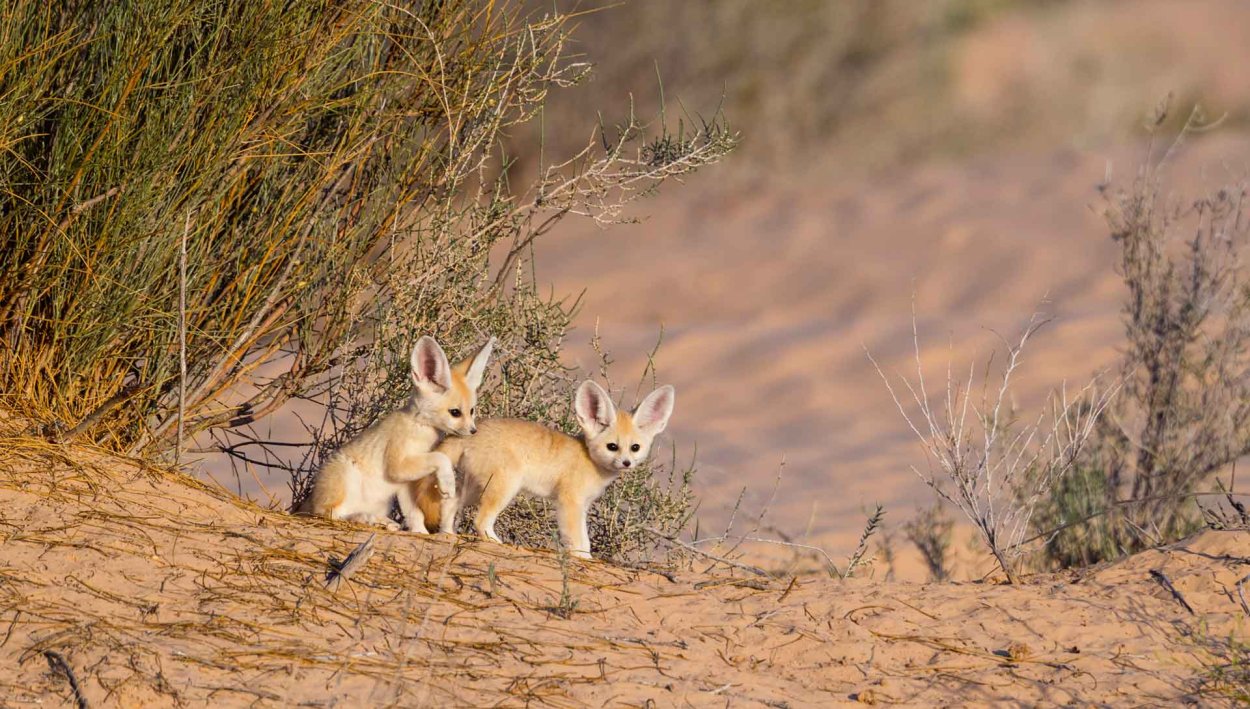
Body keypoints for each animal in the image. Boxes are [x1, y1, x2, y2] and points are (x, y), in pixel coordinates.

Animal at [300, 337, 495, 532]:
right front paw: (448, 483)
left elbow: (414, 513)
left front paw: (421, 532)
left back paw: (382, 521)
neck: (419, 426)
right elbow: (441, 457)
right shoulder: (397, 466)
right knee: (330, 513)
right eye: (455, 413)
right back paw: (366, 518)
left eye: (472, 411)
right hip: (346, 478)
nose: (473, 431)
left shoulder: (406, 483)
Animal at [412, 380, 675, 557]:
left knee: (450, 505)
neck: (588, 459)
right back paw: (497, 544)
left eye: (635, 447)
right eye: (612, 447)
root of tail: (470, 432)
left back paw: (448, 534)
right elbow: (577, 540)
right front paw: (583, 560)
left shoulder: (583, 506)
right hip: (504, 488)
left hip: (476, 488)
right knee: (480, 520)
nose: (626, 463)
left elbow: (585, 540)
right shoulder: (569, 502)